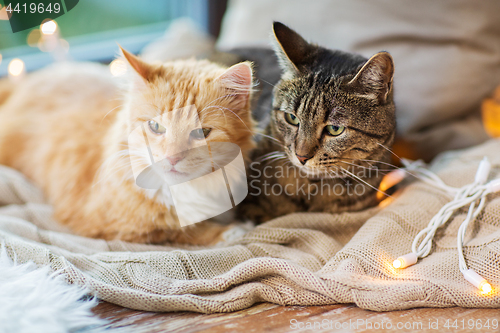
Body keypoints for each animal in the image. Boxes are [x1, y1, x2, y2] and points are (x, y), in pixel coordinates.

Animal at [0, 47, 256, 244]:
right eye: (155, 126)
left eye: (201, 132)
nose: (172, 158)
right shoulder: (111, 225)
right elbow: (179, 230)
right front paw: (231, 231)